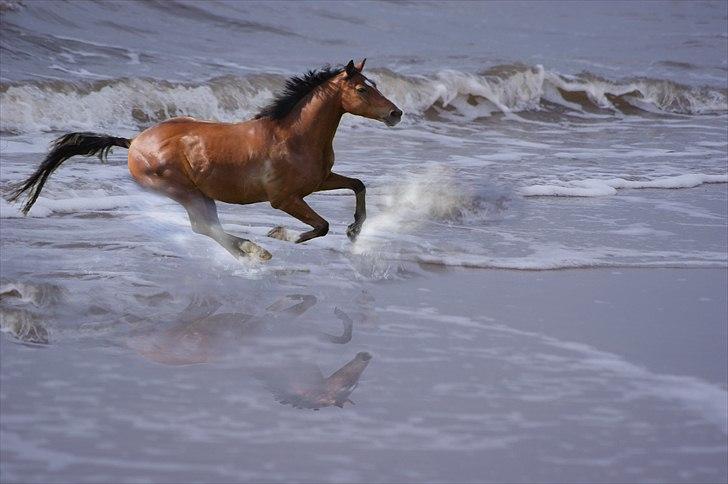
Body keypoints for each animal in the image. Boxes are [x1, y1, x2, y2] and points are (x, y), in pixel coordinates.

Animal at [7, 60, 404, 260]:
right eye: (362, 89)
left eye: (374, 85)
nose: (396, 113)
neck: (295, 135)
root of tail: (133, 142)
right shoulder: (284, 199)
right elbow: (320, 226)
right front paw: (279, 234)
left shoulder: (319, 180)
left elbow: (358, 185)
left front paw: (355, 230)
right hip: (185, 191)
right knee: (204, 227)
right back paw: (255, 251)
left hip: (198, 193)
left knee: (206, 227)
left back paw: (249, 251)